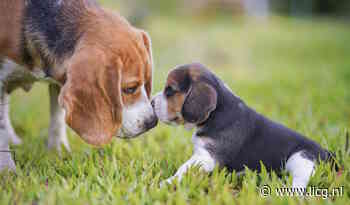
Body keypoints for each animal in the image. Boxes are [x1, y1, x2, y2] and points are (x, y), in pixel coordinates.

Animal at [0, 0, 157, 171]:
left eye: (147, 81)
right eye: (129, 89)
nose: (152, 122)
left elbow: (57, 118)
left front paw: (58, 153)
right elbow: (1, 129)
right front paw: (7, 169)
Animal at [153, 63, 334, 188]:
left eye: (169, 90)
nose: (152, 102)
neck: (218, 112)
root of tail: (326, 153)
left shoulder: (206, 157)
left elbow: (183, 168)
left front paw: (167, 182)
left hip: (300, 159)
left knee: (300, 182)